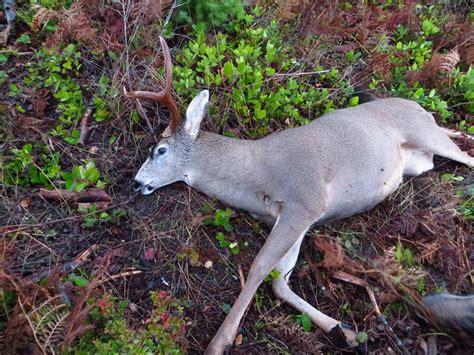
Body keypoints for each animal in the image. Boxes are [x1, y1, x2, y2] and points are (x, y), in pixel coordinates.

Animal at [126, 37, 474, 354]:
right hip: (417, 161)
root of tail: (416, 105)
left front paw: (219, 341)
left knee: (466, 157)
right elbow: (280, 281)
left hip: (422, 131)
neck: (256, 174)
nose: (136, 181)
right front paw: (346, 332)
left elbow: (259, 267)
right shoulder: (296, 218)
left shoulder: (305, 201)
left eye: (160, 149)